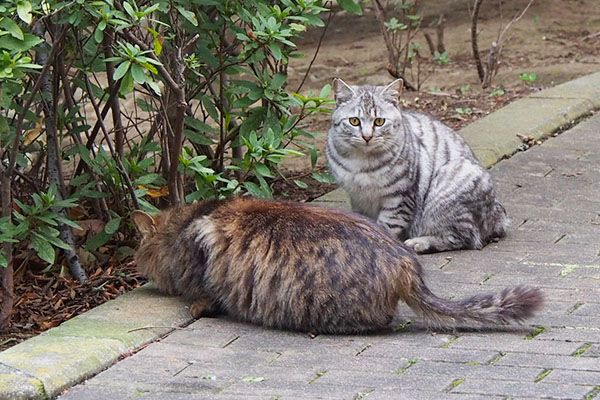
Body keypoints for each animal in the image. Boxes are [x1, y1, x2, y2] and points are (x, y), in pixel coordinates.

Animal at [326, 78, 508, 253]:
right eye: (354, 121)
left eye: (379, 121)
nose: (367, 137)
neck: (362, 162)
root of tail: (498, 214)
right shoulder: (358, 199)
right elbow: (364, 223)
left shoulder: (400, 197)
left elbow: (387, 227)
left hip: (449, 190)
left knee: (463, 237)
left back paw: (419, 243)